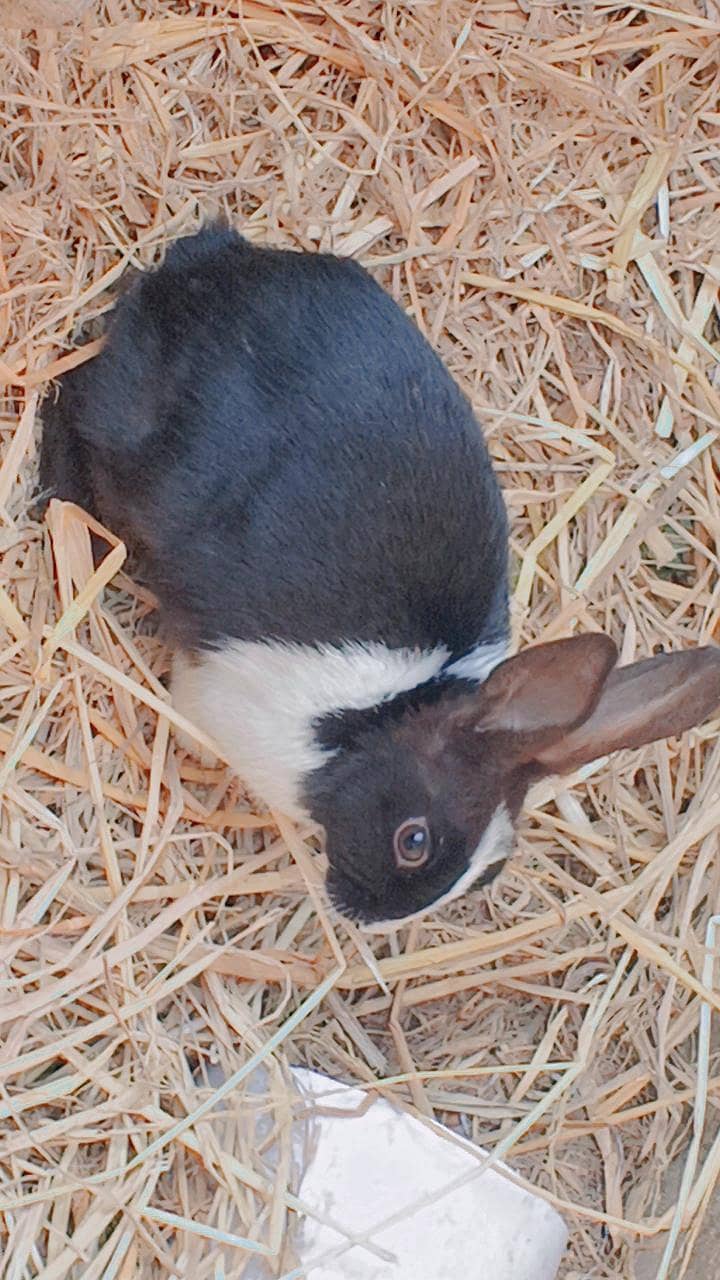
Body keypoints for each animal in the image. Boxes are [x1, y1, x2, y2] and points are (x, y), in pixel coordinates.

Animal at [39, 225, 720, 929]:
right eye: (413, 841)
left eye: (487, 875)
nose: (359, 915)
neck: (370, 725)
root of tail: (210, 264)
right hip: (130, 431)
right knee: (69, 398)